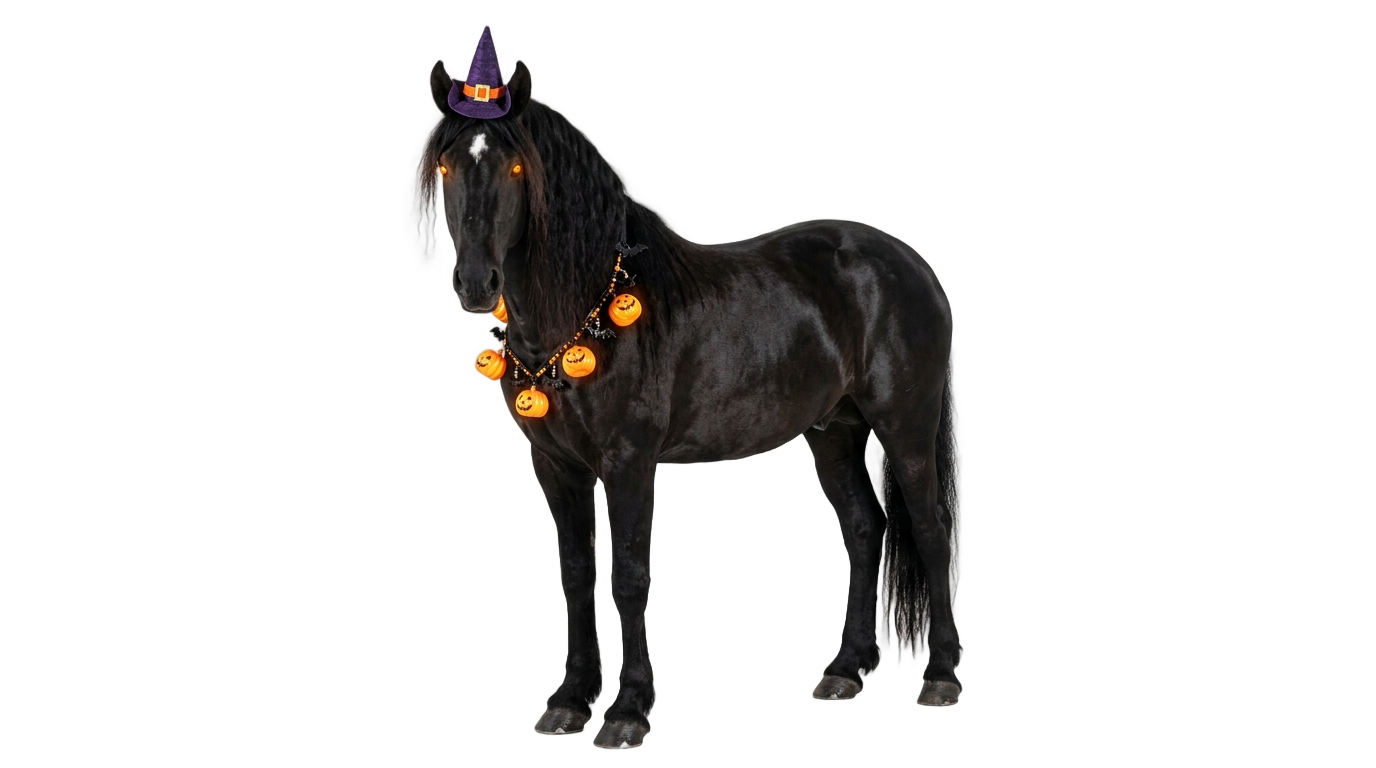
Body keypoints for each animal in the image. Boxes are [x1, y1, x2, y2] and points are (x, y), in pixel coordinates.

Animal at [413, 57, 959, 748]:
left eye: (516, 168)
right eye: (446, 167)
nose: (476, 283)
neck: (587, 305)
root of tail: (907, 262)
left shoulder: (629, 460)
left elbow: (628, 575)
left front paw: (627, 710)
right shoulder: (555, 466)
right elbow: (576, 574)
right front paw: (569, 702)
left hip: (904, 425)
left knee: (929, 529)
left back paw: (940, 675)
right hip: (834, 432)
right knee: (865, 528)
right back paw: (844, 670)